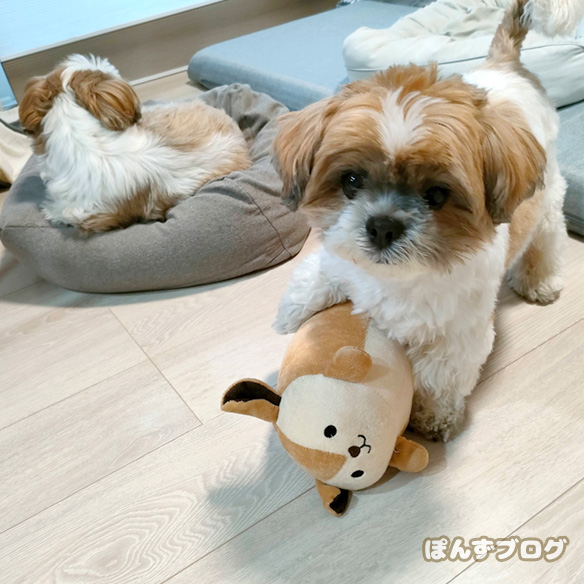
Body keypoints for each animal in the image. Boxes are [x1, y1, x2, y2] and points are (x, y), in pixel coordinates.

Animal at [272, 0, 581, 441]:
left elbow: (439, 380)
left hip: (548, 194)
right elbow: (313, 276)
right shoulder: (340, 259)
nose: (382, 225)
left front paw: (431, 417)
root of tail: (504, 65)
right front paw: (292, 316)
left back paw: (540, 279)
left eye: (436, 195)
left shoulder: (456, 338)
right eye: (351, 181)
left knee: (547, 234)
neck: (399, 280)